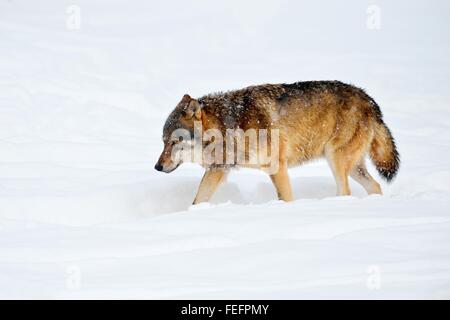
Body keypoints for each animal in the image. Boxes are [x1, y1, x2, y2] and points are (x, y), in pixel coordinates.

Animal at [156, 81, 400, 204]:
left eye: (175, 141)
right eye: (164, 141)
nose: (157, 167)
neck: (230, 127)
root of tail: (371, 102)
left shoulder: (278, 167)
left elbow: (286, 198)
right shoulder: (218, 169)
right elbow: (198, 200)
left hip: (336, 160)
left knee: (346, 191)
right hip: (352, 167)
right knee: (375, 186)